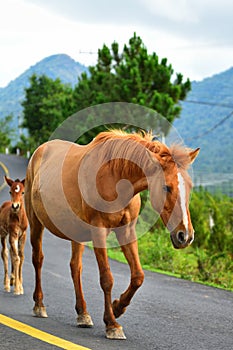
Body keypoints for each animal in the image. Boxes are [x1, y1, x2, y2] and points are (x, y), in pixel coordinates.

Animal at [24, 129, 200, 340]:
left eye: (190, 187)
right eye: (167, 187)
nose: (185, 235)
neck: (115, 178)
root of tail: (40, 150)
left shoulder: (127, 231)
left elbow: (138, 276)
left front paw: (117, 308)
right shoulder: (99, 231)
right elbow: (106, 279)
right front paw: (112, 324)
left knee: (75, 268)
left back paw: (83, 314)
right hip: (35, 222)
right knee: (38, 259)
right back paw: (39, 305)